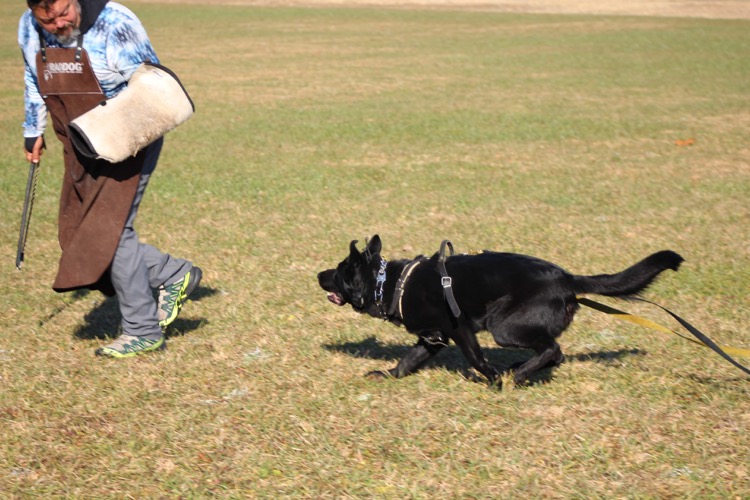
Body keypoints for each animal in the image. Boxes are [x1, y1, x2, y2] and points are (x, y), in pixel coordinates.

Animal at [318, 236, 688, 388]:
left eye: (339, 271)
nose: (318, 275)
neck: (392, 283)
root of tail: (567, 278)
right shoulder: (432, 339)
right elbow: (408, 361)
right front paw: (388, 375)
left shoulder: (460, 329)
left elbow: (477, 360)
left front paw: (493, 381)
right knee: (554, 353)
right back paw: (520, 369)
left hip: (504, 327)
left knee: (553, 349)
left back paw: (519, 374)